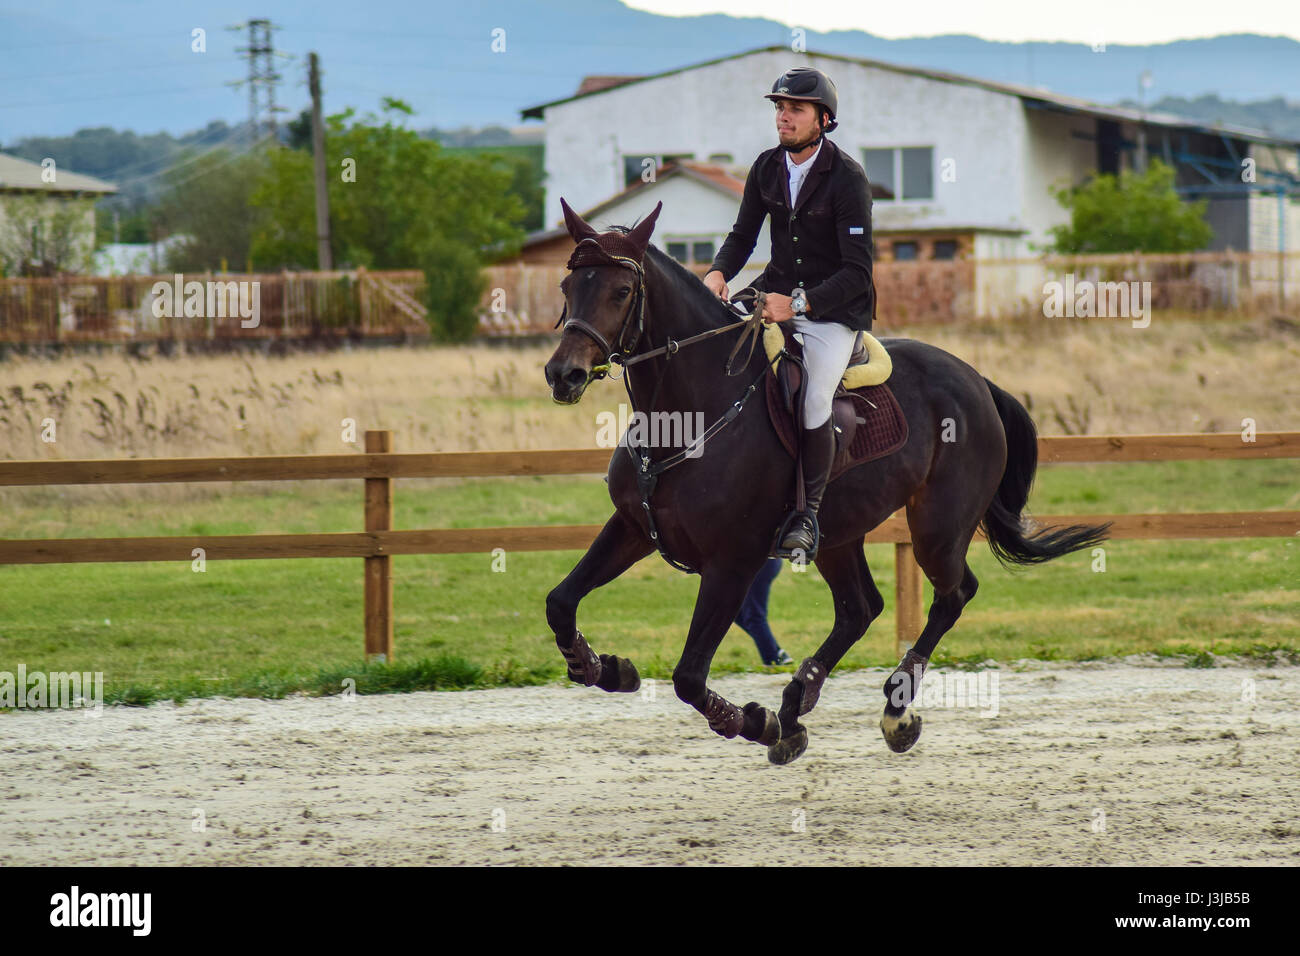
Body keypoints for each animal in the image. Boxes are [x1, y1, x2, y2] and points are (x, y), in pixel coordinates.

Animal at [540, 197, 1107, 764]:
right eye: (568, 287)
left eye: (621, 291)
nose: (563, 374)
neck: (689, 417)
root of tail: (977, 381)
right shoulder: (633, 527)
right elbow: (560, 603)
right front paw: (603, 667)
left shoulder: (732, 563)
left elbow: (689, 677)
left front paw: (755, 722)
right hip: (837, 533)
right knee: (860, 608)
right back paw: (798, 701)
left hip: (938, 528)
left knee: (952, 594)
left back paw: (891, 710)